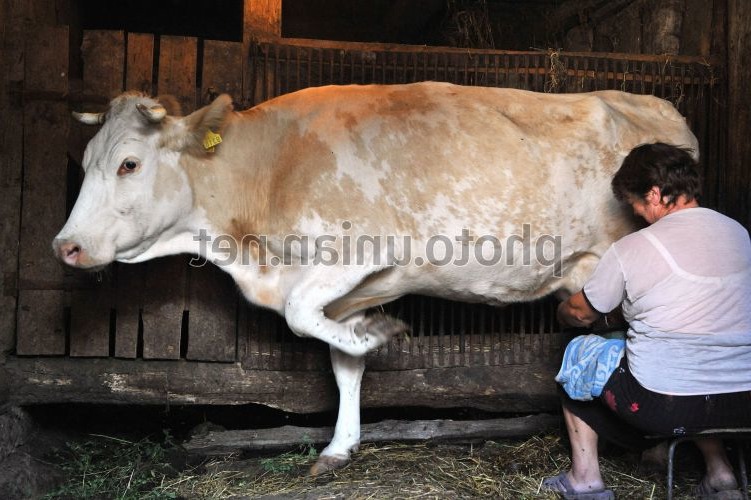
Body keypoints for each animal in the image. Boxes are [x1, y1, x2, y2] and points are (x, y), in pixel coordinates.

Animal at [53, 81, 700, 472]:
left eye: (129, 163)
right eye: (85, 162)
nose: (66, 246)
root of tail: (654, 103)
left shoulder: (360, 253)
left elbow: (301, 318)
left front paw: (383, 335)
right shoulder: (346, 292)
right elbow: (340, 361)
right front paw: (341, 444)